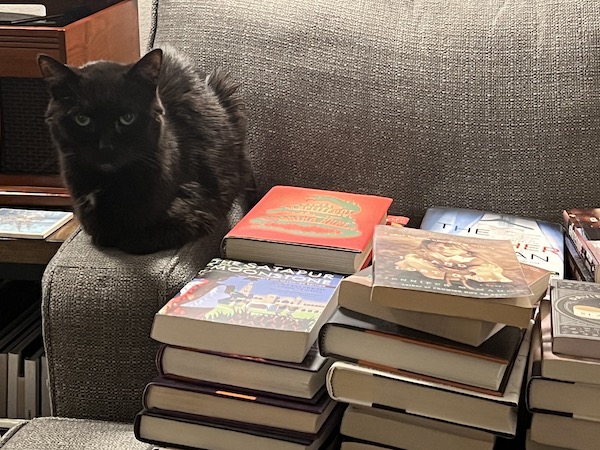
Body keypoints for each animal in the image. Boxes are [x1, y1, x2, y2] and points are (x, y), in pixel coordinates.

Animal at [37, 48, 258, 255]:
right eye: (82, 119)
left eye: (127, 118)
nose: (105, 147)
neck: (108, 183)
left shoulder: (197, 208)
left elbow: (132, 238)